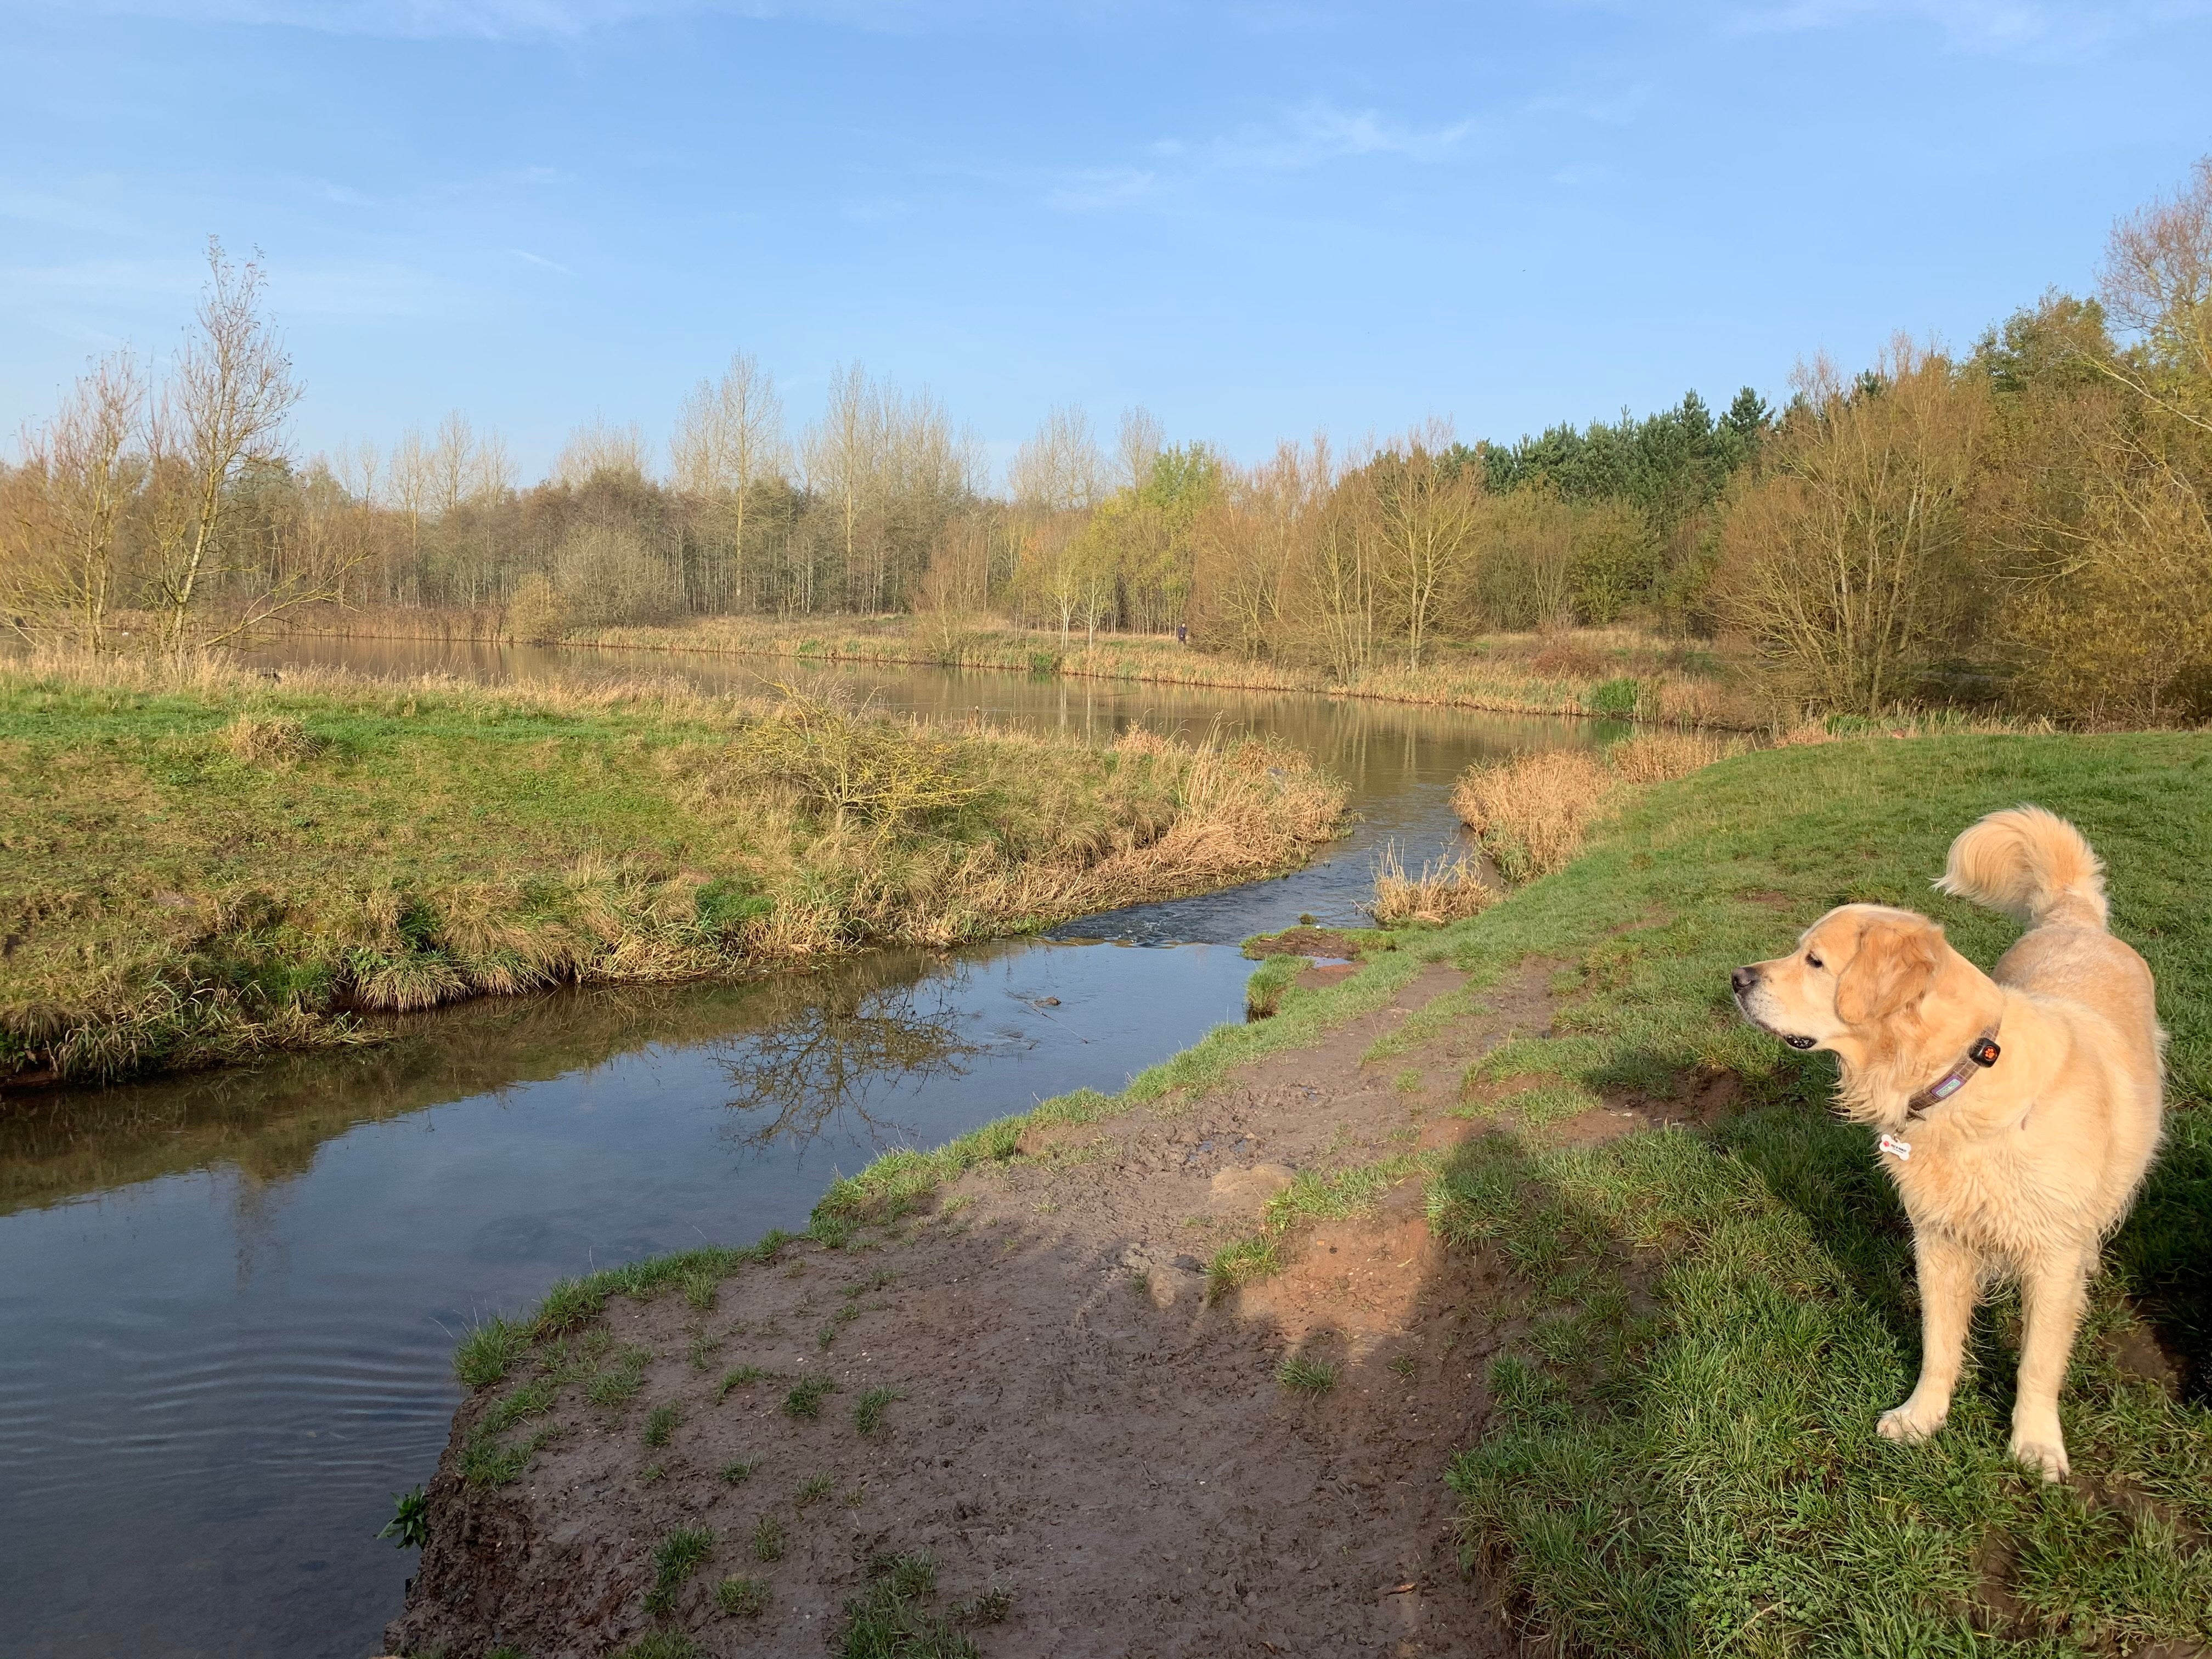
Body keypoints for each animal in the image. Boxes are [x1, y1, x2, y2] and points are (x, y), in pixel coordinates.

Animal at [1725, 809, 2159, 1477]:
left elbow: (2038, 1360)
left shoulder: (2049, 1253)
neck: (1960, 1081)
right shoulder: (1937, 1238)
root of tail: (2073, 920)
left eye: (1815, 962)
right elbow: (1938, 1343)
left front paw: (2036, 1445)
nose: (1737, 979)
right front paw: (1921, 1417)